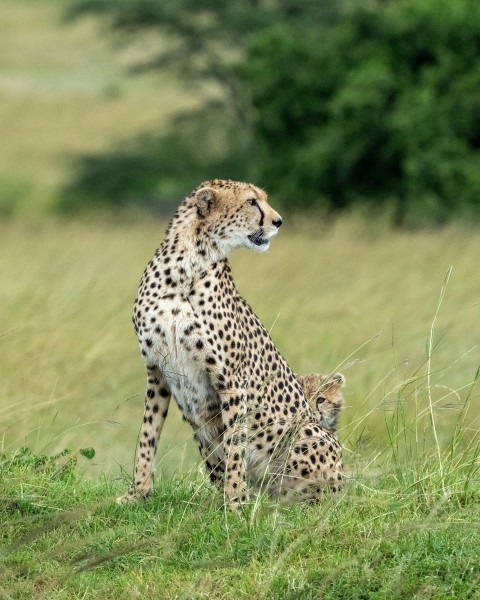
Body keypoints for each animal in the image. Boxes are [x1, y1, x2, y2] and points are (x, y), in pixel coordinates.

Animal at [119, 179, 344, 510]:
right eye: (252, 202)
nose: (278, 221)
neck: (186, 266)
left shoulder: (230, 380)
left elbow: (236, 443)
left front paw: (236, 501)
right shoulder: (156, 371)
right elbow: (148, 434)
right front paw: (138, 492)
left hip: (307, 434)